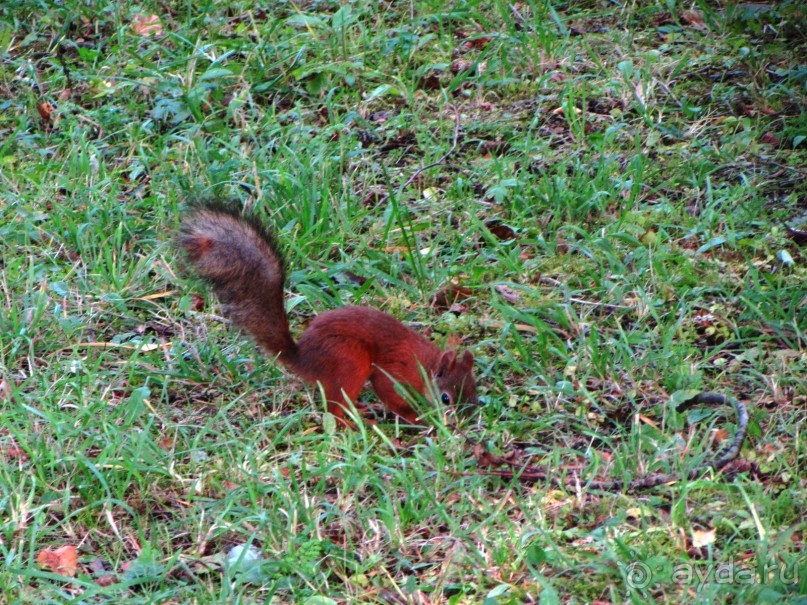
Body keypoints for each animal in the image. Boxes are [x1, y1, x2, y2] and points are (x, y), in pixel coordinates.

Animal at [179, 202, 476, 424]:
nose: (464, 420)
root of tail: (305, 360)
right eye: (446, 398)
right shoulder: (394, 371)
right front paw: (415, 417)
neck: (426, 364)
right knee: (333, 409)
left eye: (474, 389)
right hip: (350, 361)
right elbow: (388, 391)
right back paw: (357, 424)